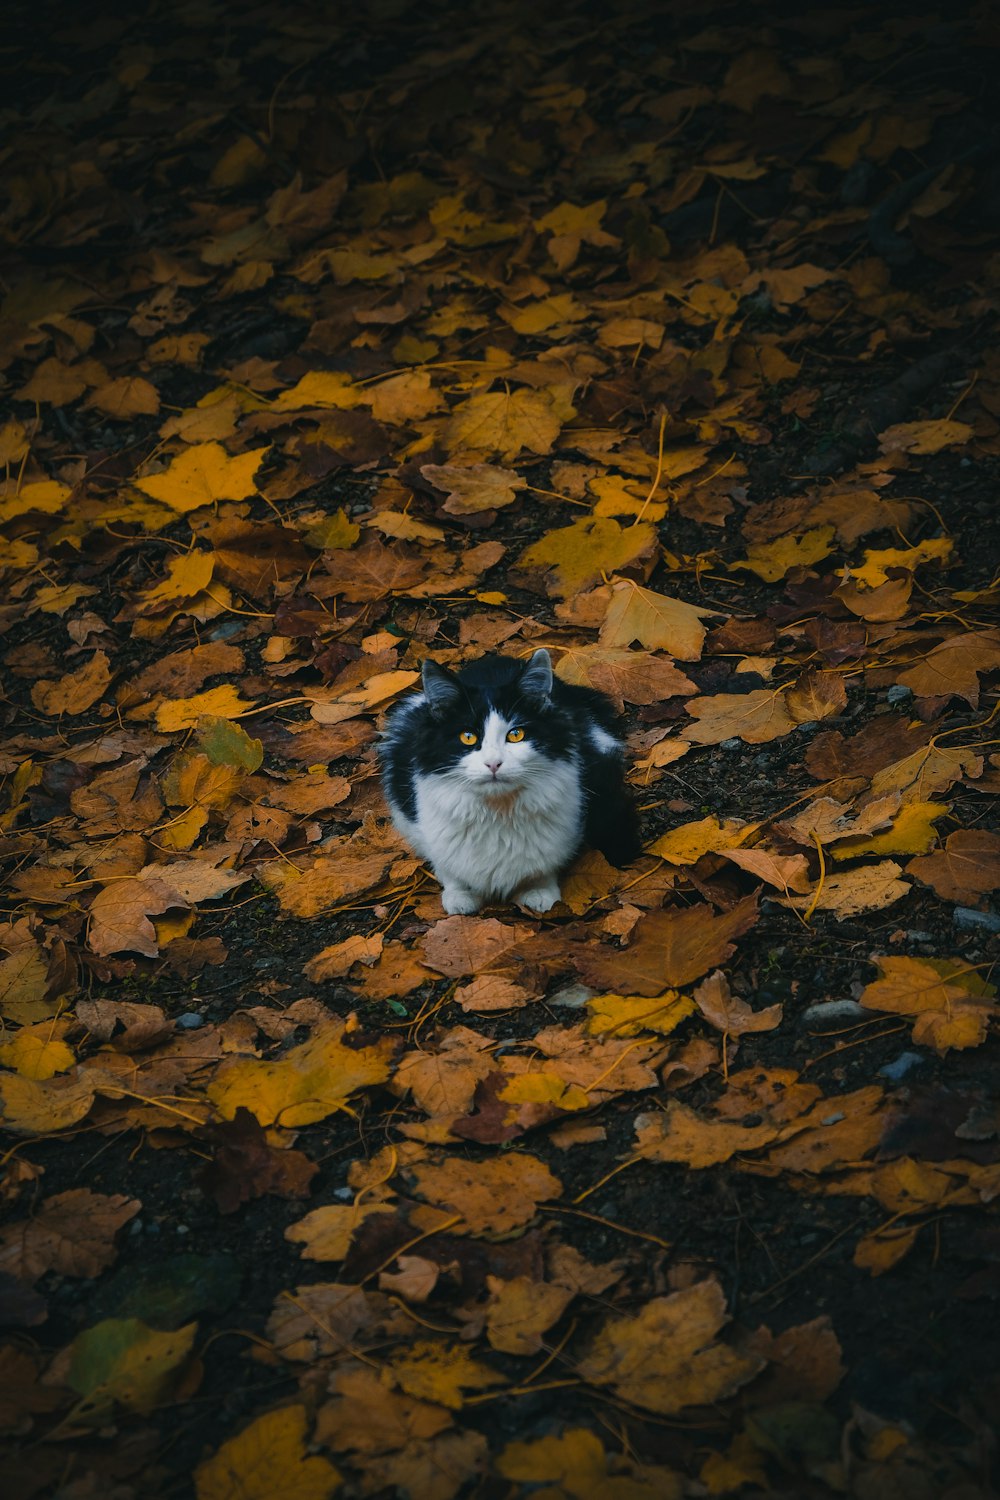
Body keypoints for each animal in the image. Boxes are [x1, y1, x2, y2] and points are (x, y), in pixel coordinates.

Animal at [374, 654, 641, 918]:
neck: (498, 812)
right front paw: (460, 896)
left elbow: (545, 868)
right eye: (468, 737)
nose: (493, 763)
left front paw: (539, 893)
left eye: (516, 735)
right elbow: (448, 869)